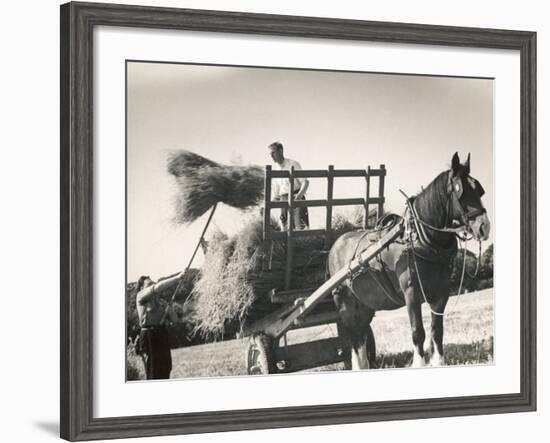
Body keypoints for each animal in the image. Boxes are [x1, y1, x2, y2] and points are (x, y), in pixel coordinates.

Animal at [330, 154, 494, 370]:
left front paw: (438, 361)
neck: (419, 240)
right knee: (352, 333)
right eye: (460, 190)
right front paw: (419, 363)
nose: (484, 227)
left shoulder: (441, 293)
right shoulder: (412, 293)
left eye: (479, 190)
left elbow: (436, 330)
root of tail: (335, 245)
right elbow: (418, 331)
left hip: (364, 304)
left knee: (361, 333)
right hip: (345, 302)